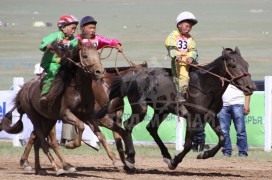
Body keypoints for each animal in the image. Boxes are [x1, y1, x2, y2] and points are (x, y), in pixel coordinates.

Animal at [0, 40, 135, 175]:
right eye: (85, 55)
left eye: (98, 55)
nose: (99, 72)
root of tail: (24, 88)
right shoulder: (67, 114)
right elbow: (81, 127)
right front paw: (70, 145)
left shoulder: (91, 116)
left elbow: (104, 135)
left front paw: (120, 161)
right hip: (35, 117)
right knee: (45, 141)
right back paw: (56, 167)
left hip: (48, 119)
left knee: (37, 139)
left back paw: (40, 168)